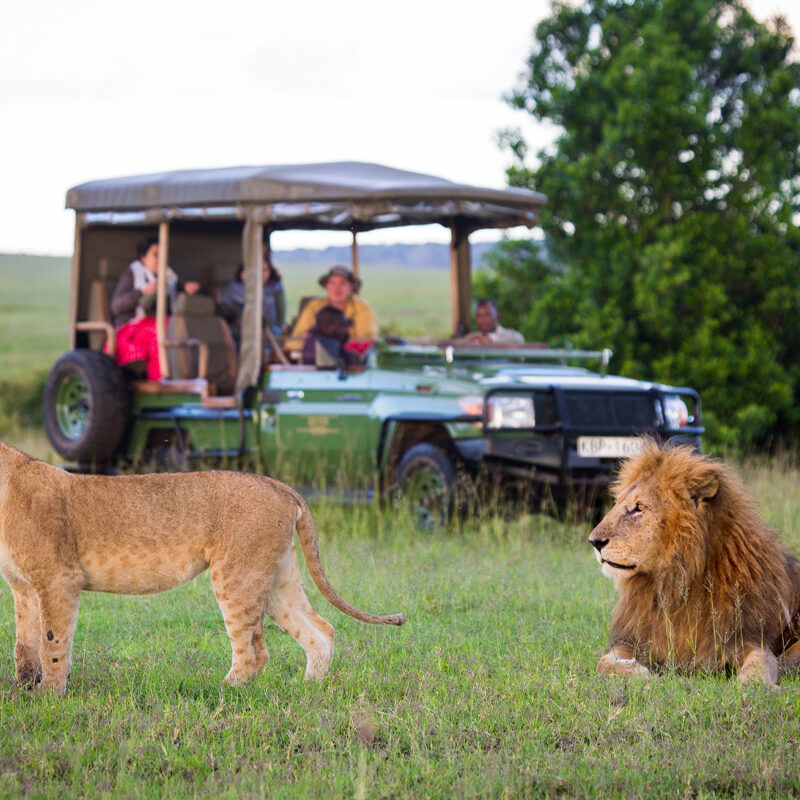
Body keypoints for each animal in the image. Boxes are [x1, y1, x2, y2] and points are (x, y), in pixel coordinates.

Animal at [0, 441, 405, 695]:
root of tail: (278, 484)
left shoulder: (59, 579)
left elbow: (53, 642)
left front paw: (49, 696)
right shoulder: (23, 588)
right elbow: (25, 645)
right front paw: (20, 691)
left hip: (235, 574)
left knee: (255, 652)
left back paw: (218, 691)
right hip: (276, 578)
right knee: (321, 630)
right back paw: (306, 689)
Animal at [589, 440, 800, 685]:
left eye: (639, 507)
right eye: (617, 503)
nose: (594, 542)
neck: (674, 583)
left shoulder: (743, 638)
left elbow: (761, 661)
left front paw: (756, 684)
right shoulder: (638, 639)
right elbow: (603, 662)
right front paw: (641, 673)